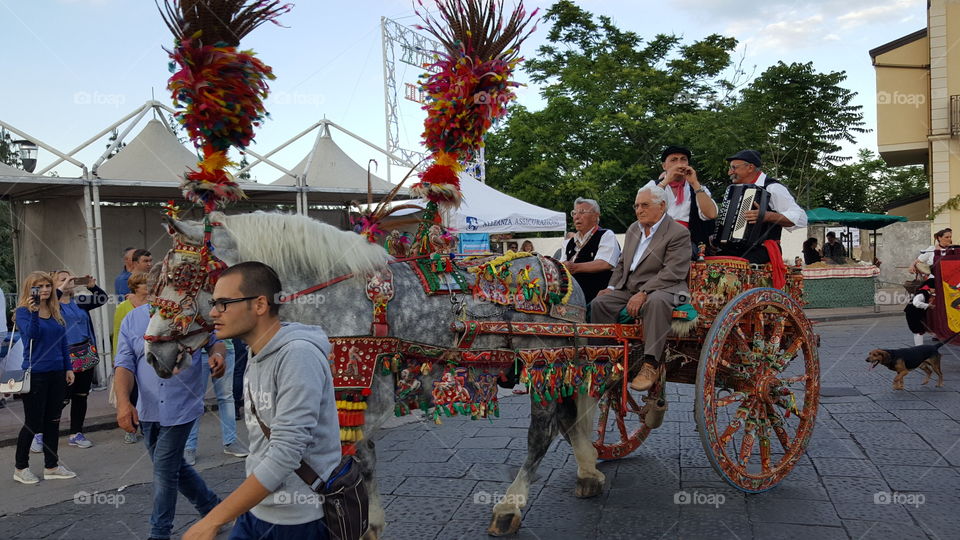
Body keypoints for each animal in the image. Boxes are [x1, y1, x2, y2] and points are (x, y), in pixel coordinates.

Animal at [142, 211, 608, 536]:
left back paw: (511, 505)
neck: (330, 297)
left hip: (543, 359)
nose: (153, 352)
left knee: (542, 431)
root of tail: (556, 267)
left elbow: (350, 461)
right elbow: (347, 461)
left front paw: (358, 522)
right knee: (568, 418)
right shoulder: (340, 388)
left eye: (182, 276)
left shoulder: (361, 387)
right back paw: (588, 471)